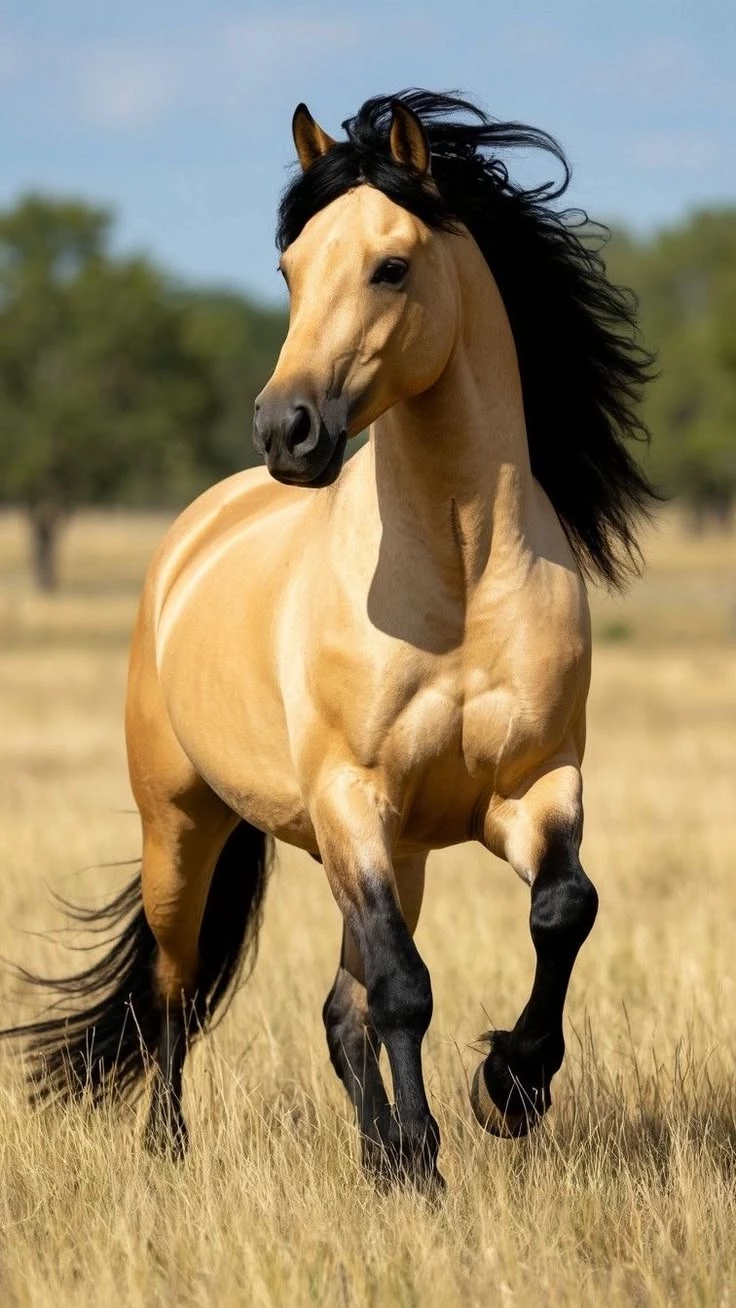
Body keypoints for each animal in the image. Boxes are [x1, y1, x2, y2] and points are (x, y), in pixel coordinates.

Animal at [2, 90, 654, 1190]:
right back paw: (172, 1150)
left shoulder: (533, 785)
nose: (287, 431)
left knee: (337, 1011)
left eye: (391, 266)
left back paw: (377, 1156)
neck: (459, 576)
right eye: (289, 269)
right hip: (188, 826)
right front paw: (430, 1160)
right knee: (177, 986)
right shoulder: (353, 797)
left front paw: (508, 1088)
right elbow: (403, 989)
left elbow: (562, 911)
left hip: (402, 854)